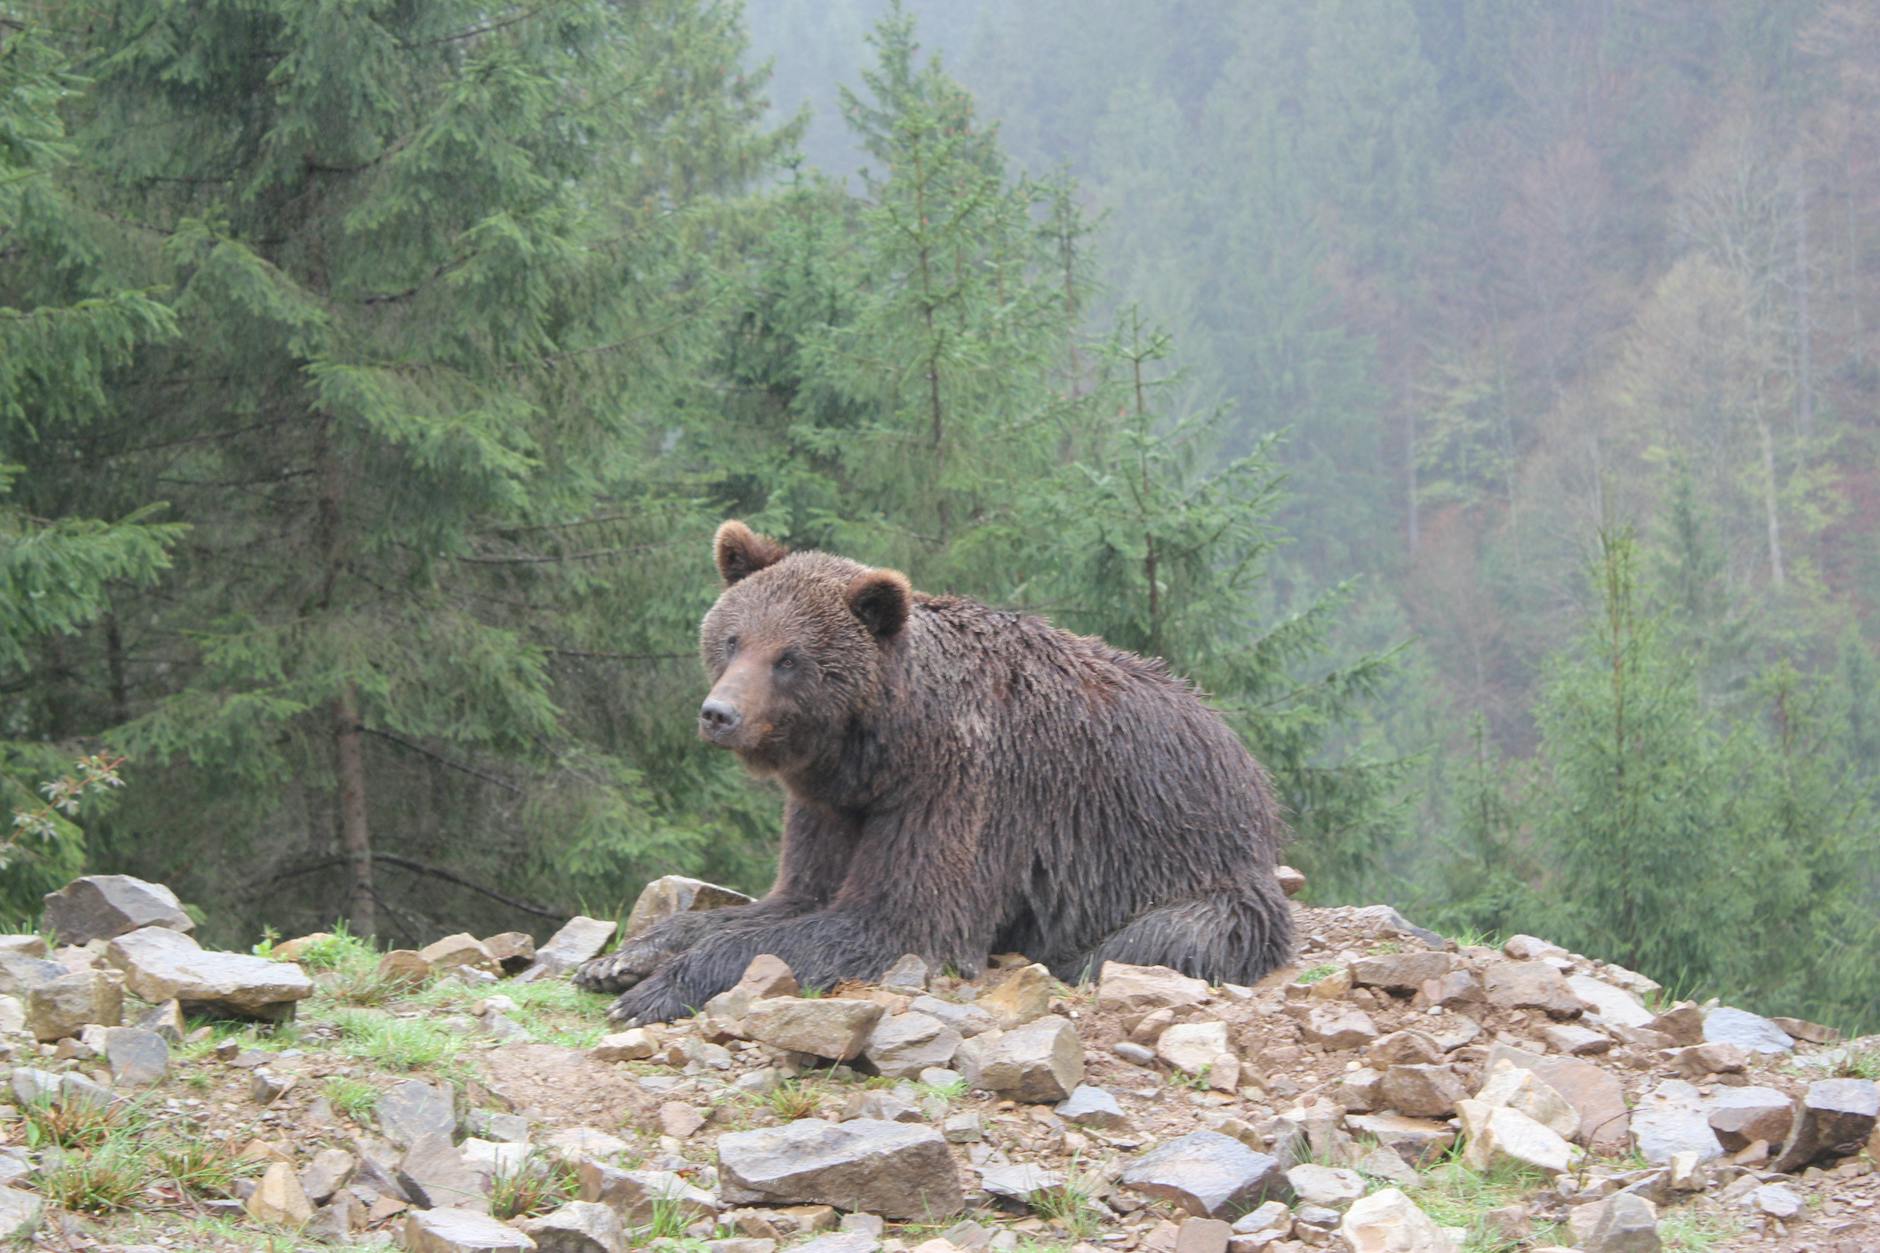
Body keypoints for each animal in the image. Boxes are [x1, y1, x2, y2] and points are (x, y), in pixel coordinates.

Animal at [574, 521, 1295, 1025]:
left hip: (1195, 870)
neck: (881, 746)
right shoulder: (833, 803)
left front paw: (654, 990)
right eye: (731, 638)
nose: (719, 713)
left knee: (1158, 939)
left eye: (789, 657)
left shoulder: (962, 787)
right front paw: (620, 959)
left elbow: (899, 919)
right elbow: (791, 897)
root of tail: (1247, 763)